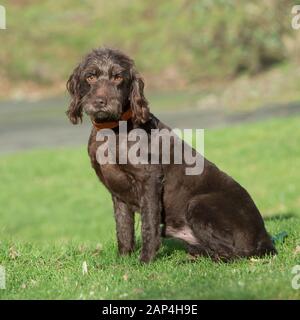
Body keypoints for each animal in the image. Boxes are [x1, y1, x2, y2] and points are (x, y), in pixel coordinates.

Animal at [66, 47, 276, 262]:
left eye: (117, 77)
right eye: (90, 76)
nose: (101, 101)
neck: (112, 129)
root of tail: (265, 238)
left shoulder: (150, 178)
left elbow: (149, 224)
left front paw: (145, 261)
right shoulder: (118, 193)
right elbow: (123, 228)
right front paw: (123, 260)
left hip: (197, 203)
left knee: (236, 254)